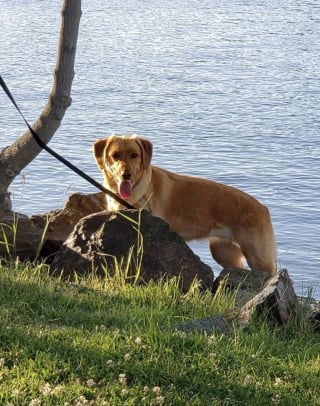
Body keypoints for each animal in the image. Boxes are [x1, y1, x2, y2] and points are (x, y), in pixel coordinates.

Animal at [93, 134, 278, 276]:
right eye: (115, 155)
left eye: (134, 155)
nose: (126, 175)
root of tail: (263, 208)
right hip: (222, 251)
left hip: (259, 258)